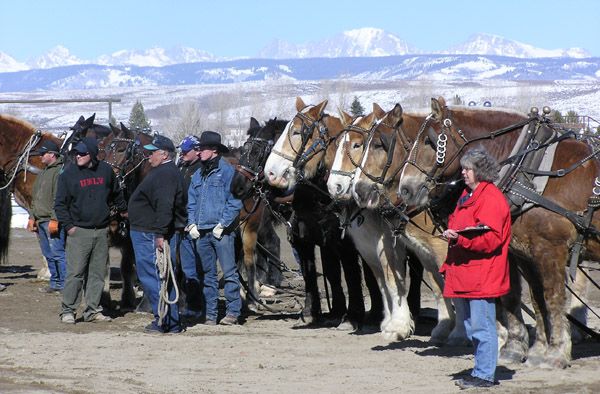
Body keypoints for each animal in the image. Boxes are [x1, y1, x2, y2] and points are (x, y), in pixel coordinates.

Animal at [398, 97, 600, 368]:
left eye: (431, 141)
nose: (405, 189)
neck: (531, 171)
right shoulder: (525, 253)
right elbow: (532, 299)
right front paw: (531, 351)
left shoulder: (550, 250)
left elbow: (553, 298)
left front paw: (555, 353)